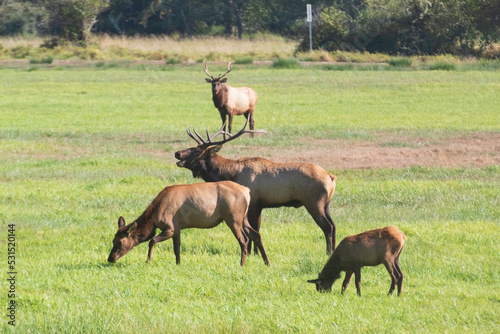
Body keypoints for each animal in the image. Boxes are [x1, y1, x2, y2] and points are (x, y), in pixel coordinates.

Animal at [106, 180, 270, 266]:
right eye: (112, 240)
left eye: (120, 242)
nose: (110, 258)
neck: (155, 216)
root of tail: (246, 191)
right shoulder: (177, 228)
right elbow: (177, 249)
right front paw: (178, 264)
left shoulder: (170, 227)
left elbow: (152, 241)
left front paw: (148, 261)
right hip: (244, 218)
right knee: (257, 235)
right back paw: (267, 262)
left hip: (233, 218)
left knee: (244, 240)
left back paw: (241, 264)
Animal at [174, 120, 338, 253]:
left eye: (197, 150)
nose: (177, 153)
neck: (230, 174)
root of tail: (332, 177)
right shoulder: (259, 205)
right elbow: (256, 229)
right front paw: (256, 252)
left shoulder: (253, 203)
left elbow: (254, 230)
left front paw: (254, 253)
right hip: (327, 204)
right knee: (334, 225)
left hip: (314, 202)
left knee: (327, 227)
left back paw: (328, 252)